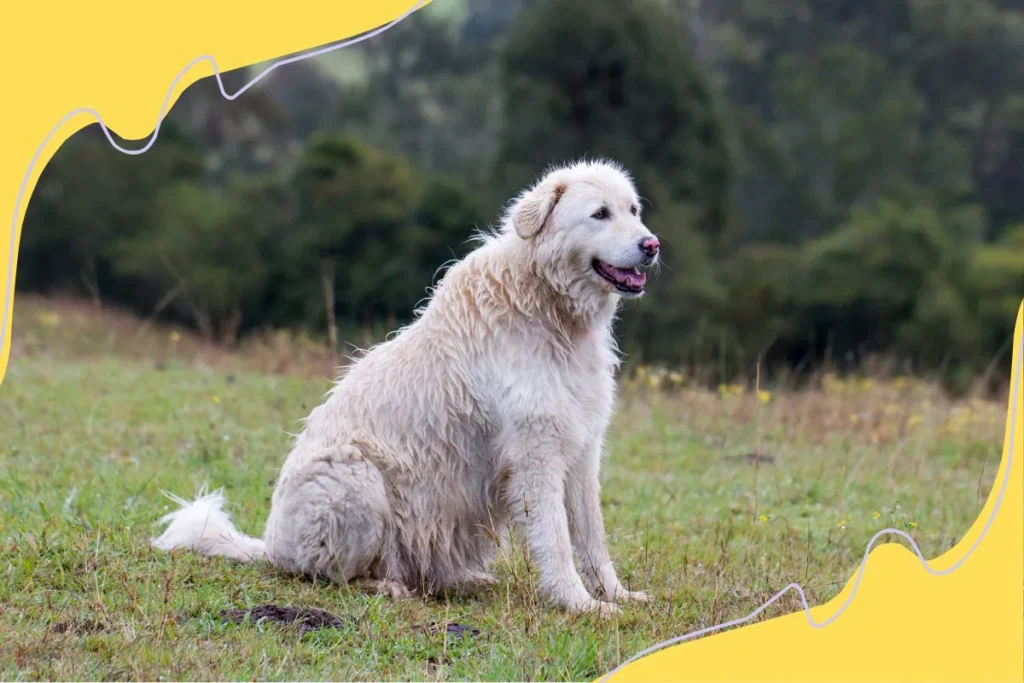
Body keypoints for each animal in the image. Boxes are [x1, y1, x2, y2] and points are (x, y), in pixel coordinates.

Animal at [152, 160, 663, 618]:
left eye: (633, 210)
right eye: (600, 214)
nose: (652, 244)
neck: (549, 306)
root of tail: (272, 547)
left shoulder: (582, 451)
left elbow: (592, 538)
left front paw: (617, 595)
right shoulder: (536, 456)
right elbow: (556, 540)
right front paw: (579, 605)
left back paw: (464, 580)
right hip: (356, 477)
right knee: (330, 574)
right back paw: (385, 587)